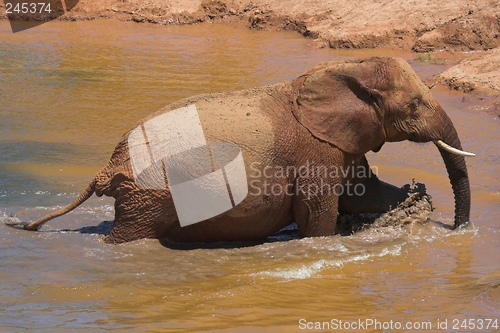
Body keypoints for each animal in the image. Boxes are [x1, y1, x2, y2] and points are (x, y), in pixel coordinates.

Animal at [9, 57, 474, 243]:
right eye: (415, 107)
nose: (459, 230)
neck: (343, 68)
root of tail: (108, 165)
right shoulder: (316, 152)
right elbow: (319, 217)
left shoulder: (339, 141)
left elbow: (362, 193)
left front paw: (414, 197)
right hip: (147, 197)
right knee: (129, 237)